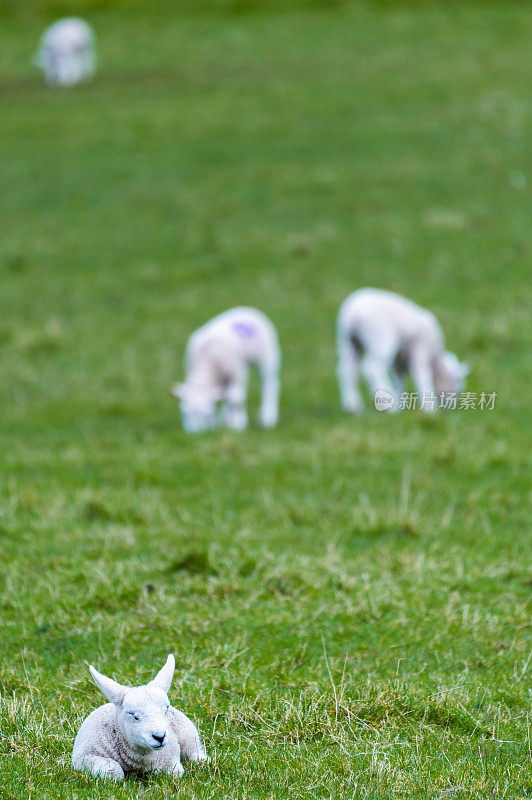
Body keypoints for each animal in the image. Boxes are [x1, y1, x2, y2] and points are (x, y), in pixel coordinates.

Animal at [72, 652, 208, 780]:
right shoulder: (84, 757)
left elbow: (174, 772)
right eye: (133, 715)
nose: (159, 737)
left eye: (166, 710)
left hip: (188, 734)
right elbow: (113, 771)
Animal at [336, 288, 470, 412]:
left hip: (348, 341)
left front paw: (401, 403)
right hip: (381, 338)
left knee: (347, 369)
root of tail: (354, 313)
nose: (450, 407)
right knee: (372, 368)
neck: (435, 361)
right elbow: (422, 375)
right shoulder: (421, 349)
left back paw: (352, 406)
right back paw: (387, 403)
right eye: (456, 386)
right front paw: (429, 406)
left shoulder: (398, 361)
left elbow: (399, 380)